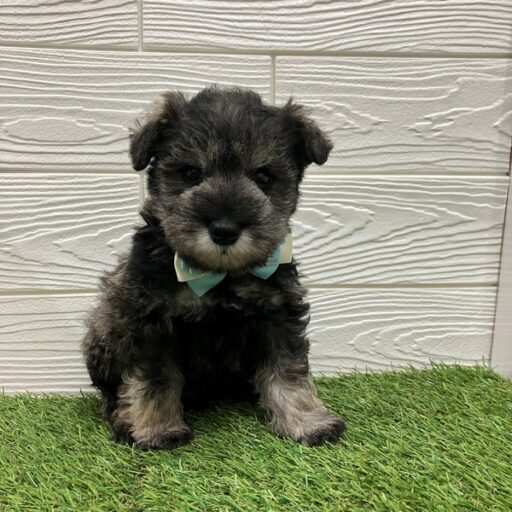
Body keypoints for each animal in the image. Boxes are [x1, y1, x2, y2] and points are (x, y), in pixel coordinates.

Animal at [82, 86, 345, 450]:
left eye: (263, 176)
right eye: (191, 173)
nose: (224, 229)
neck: (219, 276)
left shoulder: (278, 315)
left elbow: (289, 371)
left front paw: (307, 422)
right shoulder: (151, 322)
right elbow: (154, 380)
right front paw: (156, 430)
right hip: (103, 333)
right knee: (112, 393)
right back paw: (123, 419)